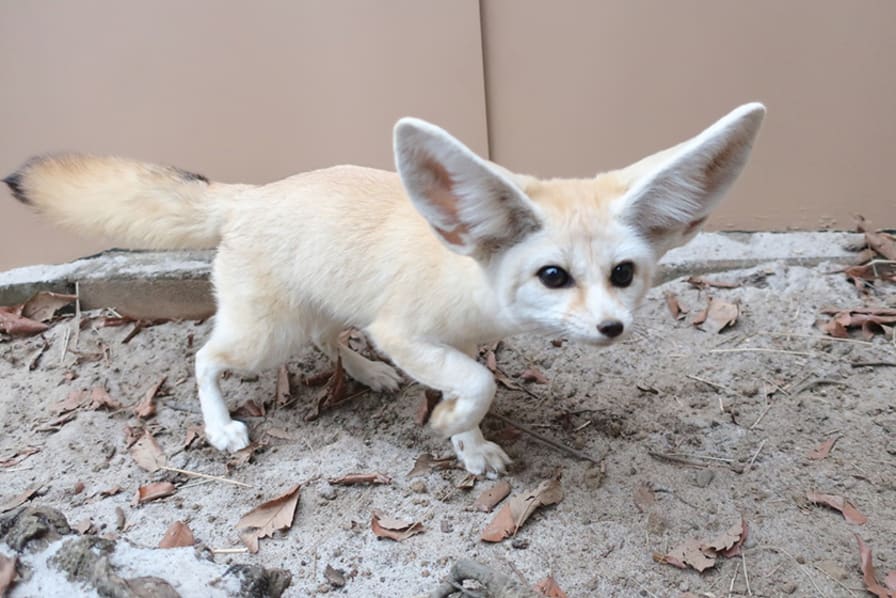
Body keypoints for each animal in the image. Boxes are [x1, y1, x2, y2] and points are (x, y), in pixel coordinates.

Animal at [5, 103, 764, 478]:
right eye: (554, 276)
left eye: (623, 274)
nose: (612, 328)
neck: (469, 277)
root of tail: (250, 195)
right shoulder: (408, 333)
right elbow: (478, 387)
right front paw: (453, 427)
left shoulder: (450, 344)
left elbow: (472, 386)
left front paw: (469, 445)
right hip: (263, 336)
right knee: (206, 357)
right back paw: (220, 426)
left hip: (321, 305)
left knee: (328, 335)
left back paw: (366, 373)